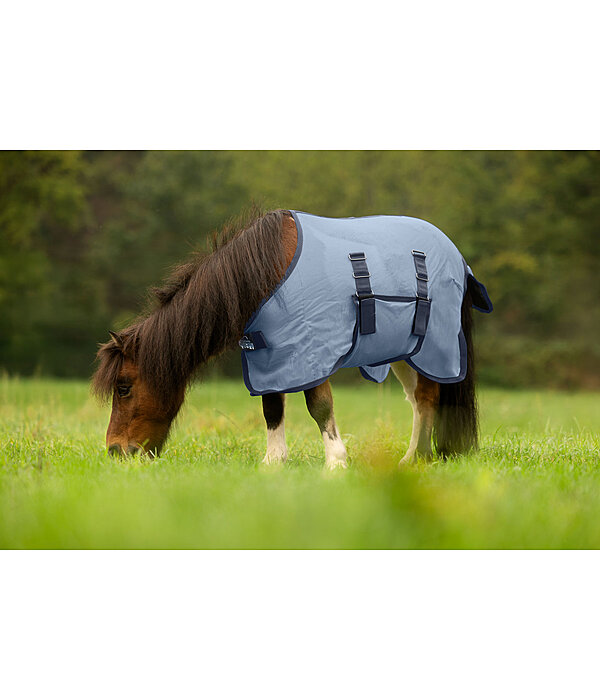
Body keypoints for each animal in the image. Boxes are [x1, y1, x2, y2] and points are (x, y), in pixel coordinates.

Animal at [92, 209, 490, 467]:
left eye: (123, 387)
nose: (115, 451)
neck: (267, 271)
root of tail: (457, 256)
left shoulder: (312, 349)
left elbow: (319, 406)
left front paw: (336, 462)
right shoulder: (270, 354)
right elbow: (272, 407)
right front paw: (274, 461)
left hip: (431, 348)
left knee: (428, 397)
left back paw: (414, 459)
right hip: (402, 352)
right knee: (419, 401)